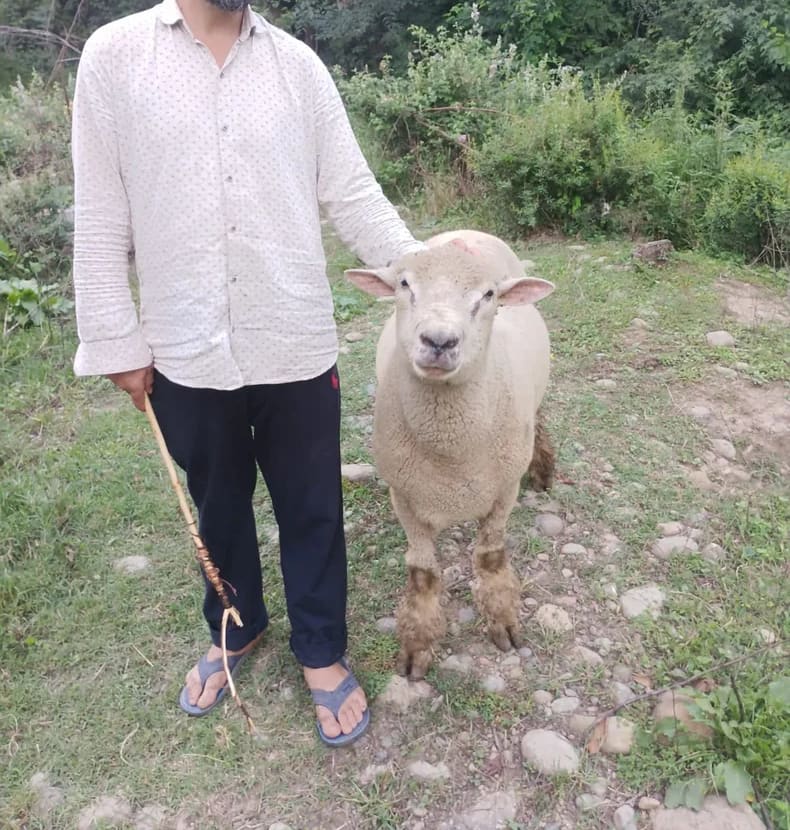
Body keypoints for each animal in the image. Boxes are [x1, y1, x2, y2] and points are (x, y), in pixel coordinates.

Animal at [346, 230, 556, 679]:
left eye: (489, 294)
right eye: (404, 284)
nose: (439, 341)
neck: (450, 452)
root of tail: (467, 233)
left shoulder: (503, 490)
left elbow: (490, 557)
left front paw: (503, 623)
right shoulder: (405, 496)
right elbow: (423, 574)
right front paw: (416, 648)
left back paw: (544, 469)